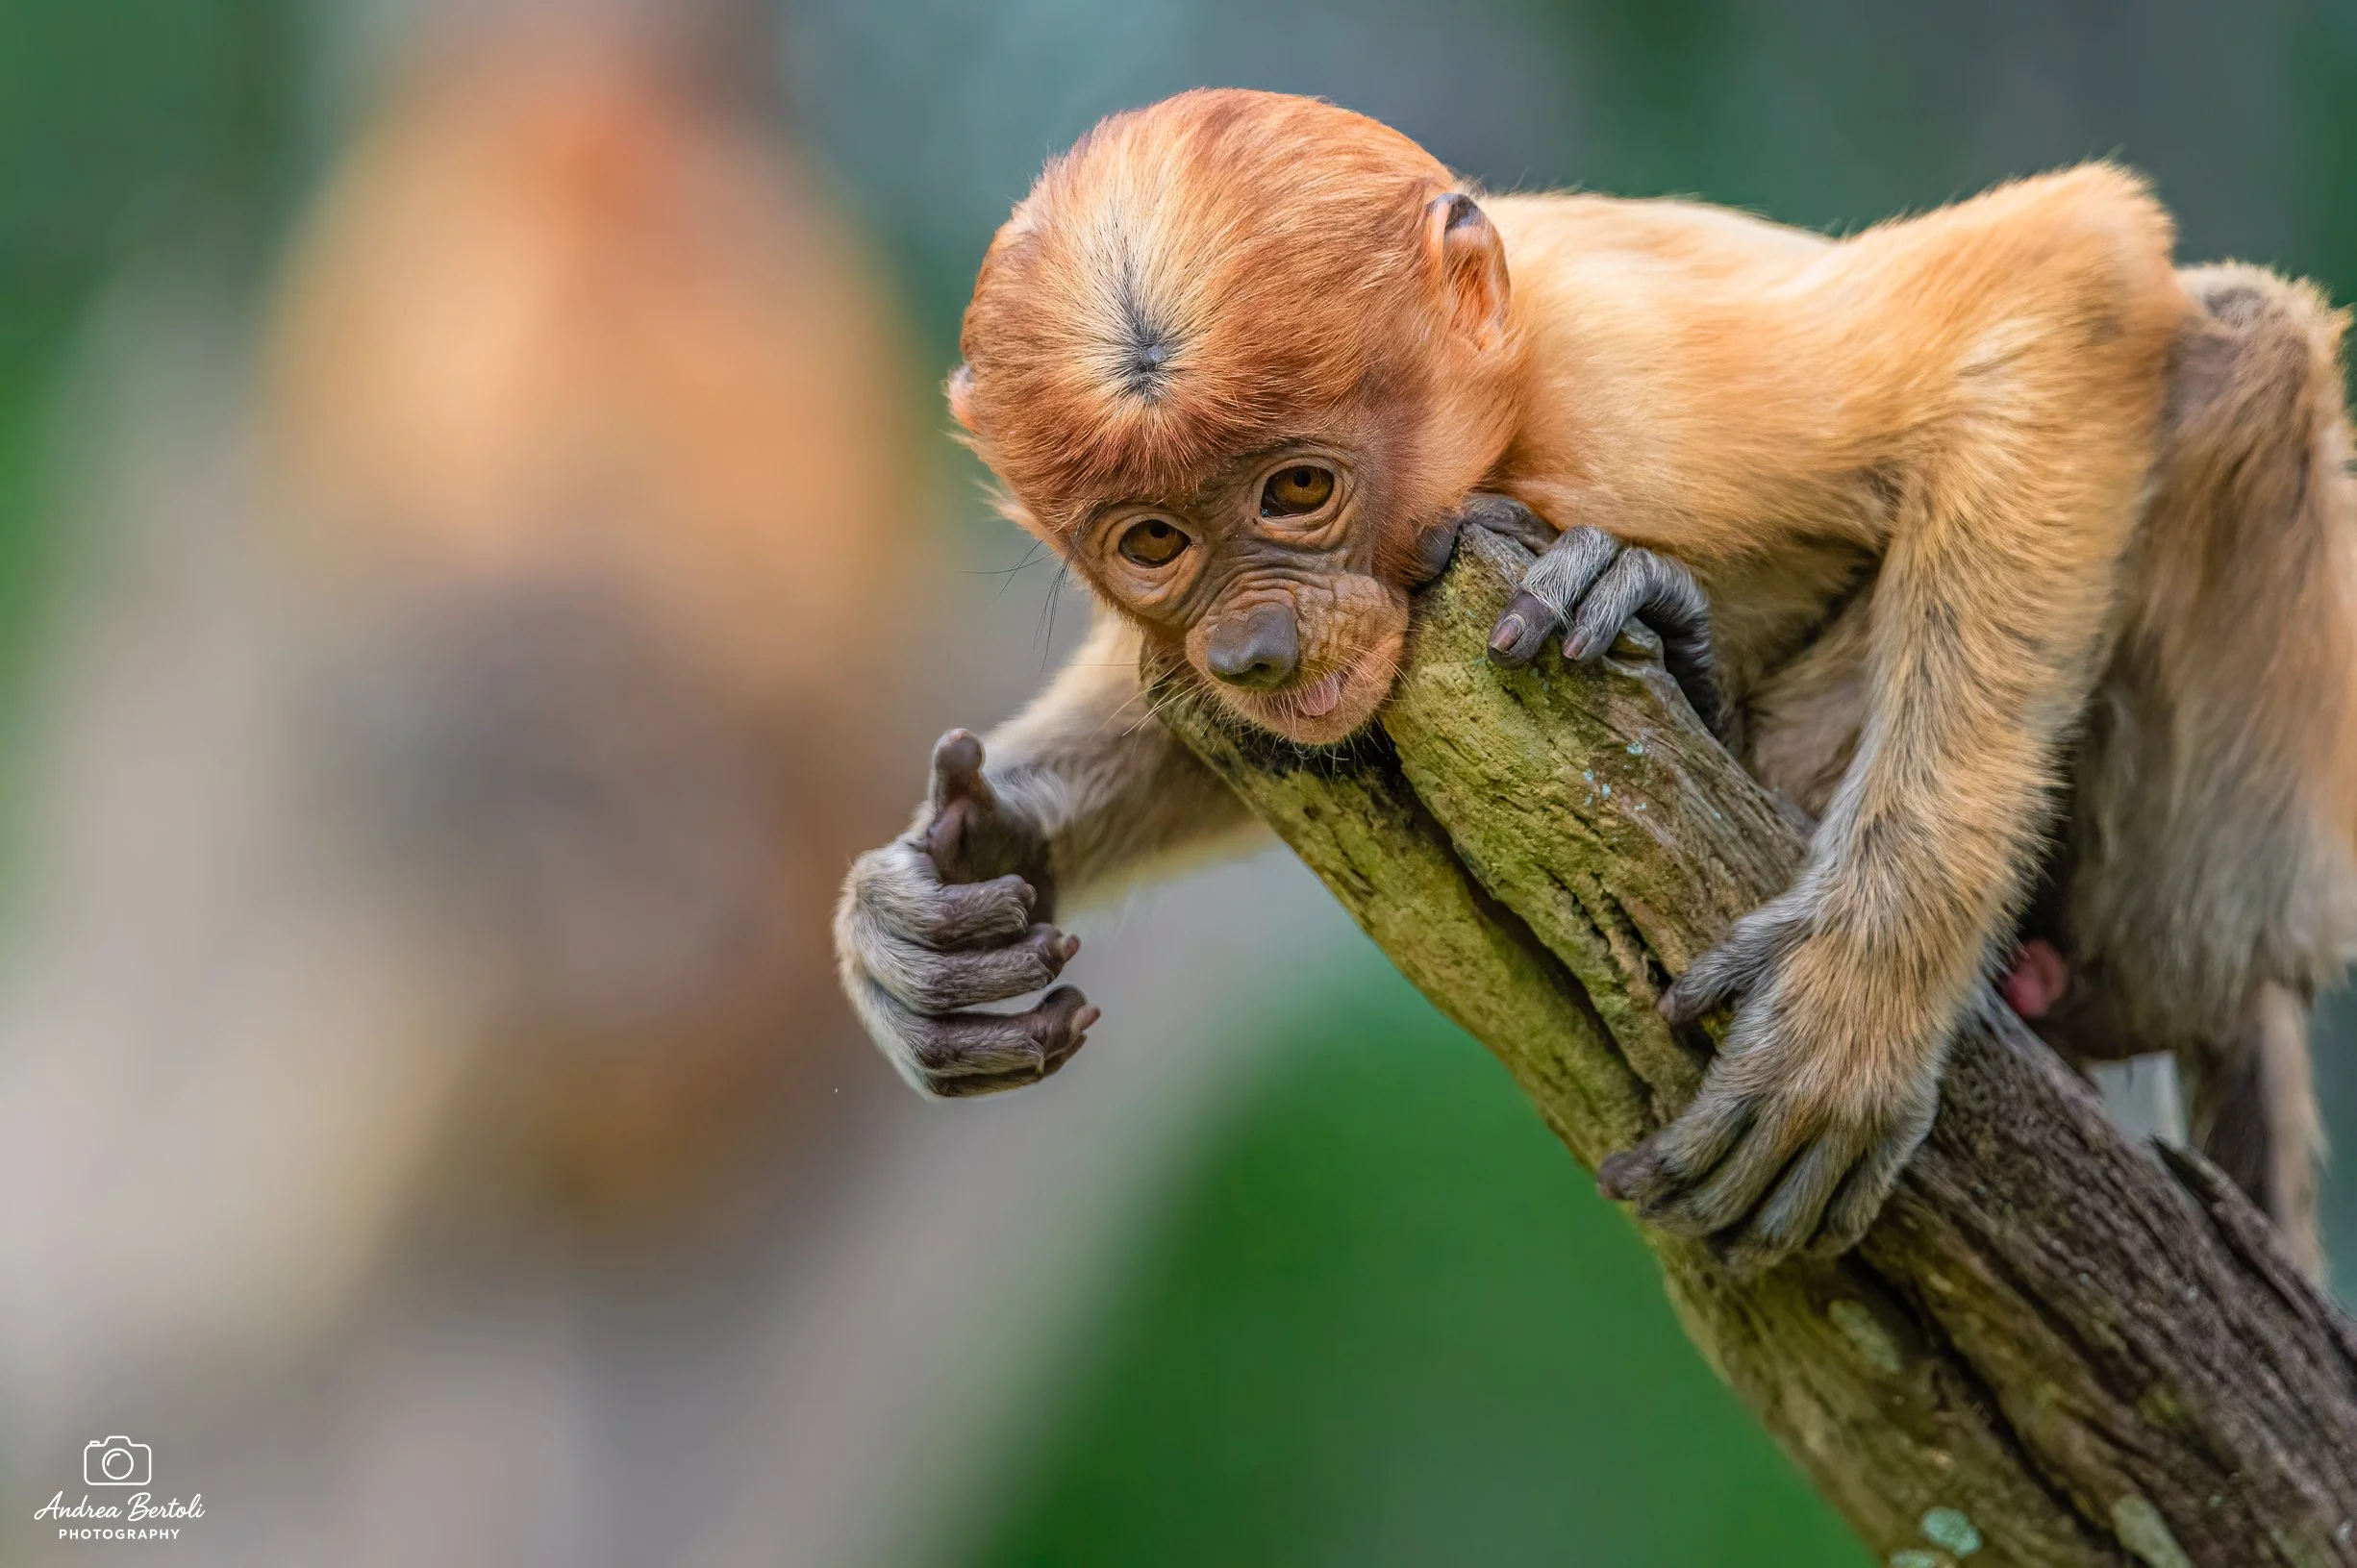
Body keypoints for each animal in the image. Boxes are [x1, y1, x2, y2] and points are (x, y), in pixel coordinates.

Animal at [835, 89, 2357, 1276]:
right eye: (1152, 541)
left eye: (1298, 491)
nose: (1253, 646)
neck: (1499, 425)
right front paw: (935, 896)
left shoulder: (1643, 395)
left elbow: (2064, 272)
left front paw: (1857, 992)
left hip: (2211, 891)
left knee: (2233, 342)